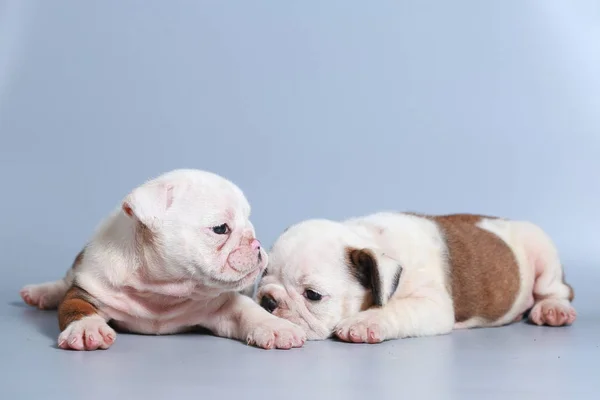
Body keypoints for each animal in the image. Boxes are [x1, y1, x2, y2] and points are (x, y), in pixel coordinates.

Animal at [21, 169, 308, 350]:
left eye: (249, 224)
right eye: (221, 229)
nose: (256, 244)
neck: (161, 292)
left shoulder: (222, 306)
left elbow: (247, 310)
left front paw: (276, 327)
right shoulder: (88, 290)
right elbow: (77, 309)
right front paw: (86, 329)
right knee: (64, 281)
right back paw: (41, 292)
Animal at [258, 211, 576, 342]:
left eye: (312, 295)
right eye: (263, 277)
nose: (268, 301)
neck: (370, 240)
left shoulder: (431, 305)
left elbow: (394, 310)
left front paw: (364, 322)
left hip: (542, 251)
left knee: (557, 289)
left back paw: (553, 310)